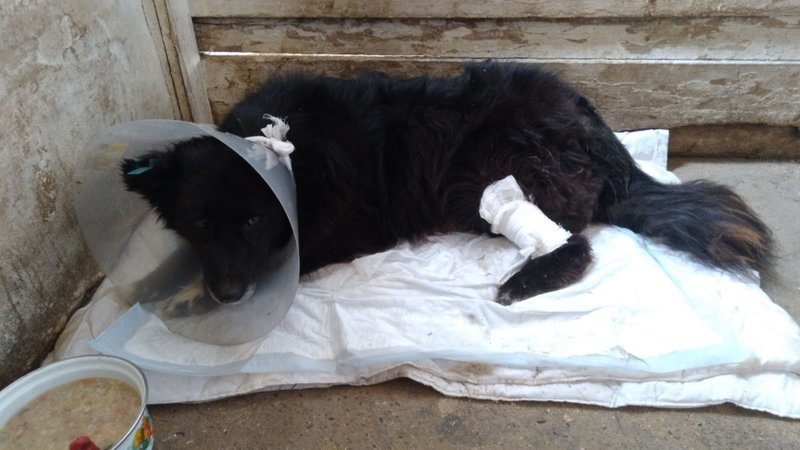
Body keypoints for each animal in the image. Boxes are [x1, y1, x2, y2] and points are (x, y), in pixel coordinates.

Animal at [122, 61, 772, 306]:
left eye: (255, 219)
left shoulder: (334, 234)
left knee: (576, 244)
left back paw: (524, 281)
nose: (229, 295)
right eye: (200, 222)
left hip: (487, 178)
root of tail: (593, 123)